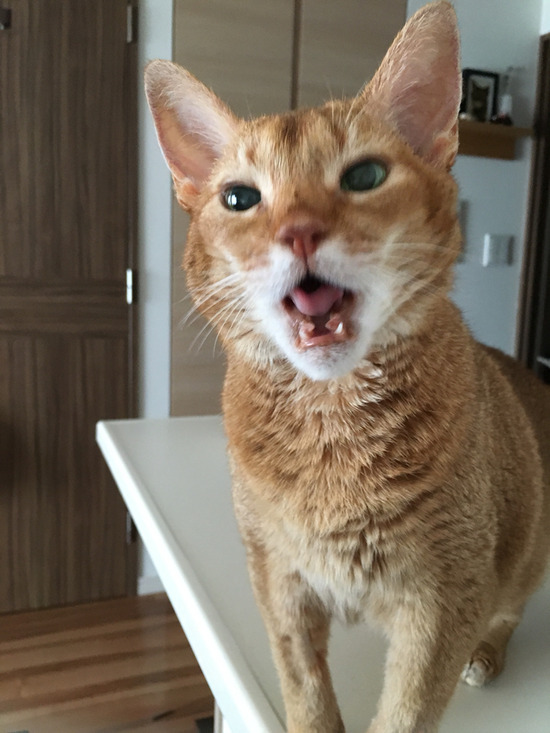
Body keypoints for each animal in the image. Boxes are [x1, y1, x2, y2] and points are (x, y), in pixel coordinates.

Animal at [145, 2, 550, 731]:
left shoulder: (444, 602)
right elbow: (303, 686)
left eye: (364, 177)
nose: (299, 231)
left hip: (524, 551)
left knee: (512, 606)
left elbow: (407, 710)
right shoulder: (277, 581)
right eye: (240, 198)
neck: (331, 430)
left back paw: (488, 654)